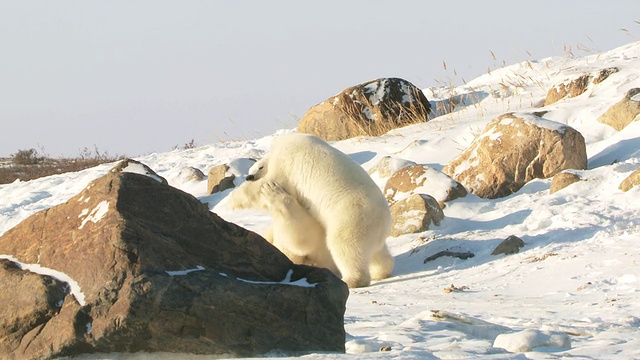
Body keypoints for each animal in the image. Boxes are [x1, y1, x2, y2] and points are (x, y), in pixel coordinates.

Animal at [245, 132, 396, 286]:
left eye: (260, 167)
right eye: (250, 169)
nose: (249, 177)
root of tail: (384, 221)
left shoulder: (286, 162)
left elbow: (268, 183)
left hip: (353, 217)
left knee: (345, 246)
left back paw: (349, 280)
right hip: (371, 230)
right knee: (377, 253)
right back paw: (380, 271)